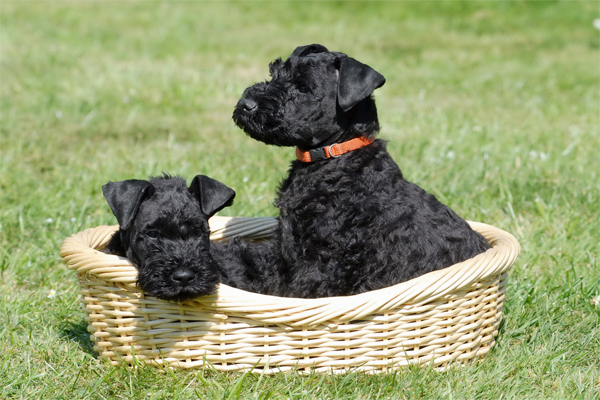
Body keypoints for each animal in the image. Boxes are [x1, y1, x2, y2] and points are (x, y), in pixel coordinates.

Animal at [232, 45, 490, 298]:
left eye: (303, 86)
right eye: (273, 73)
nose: (246, 104)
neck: (334, 156)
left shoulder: (322, 262)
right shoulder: (286, 245)